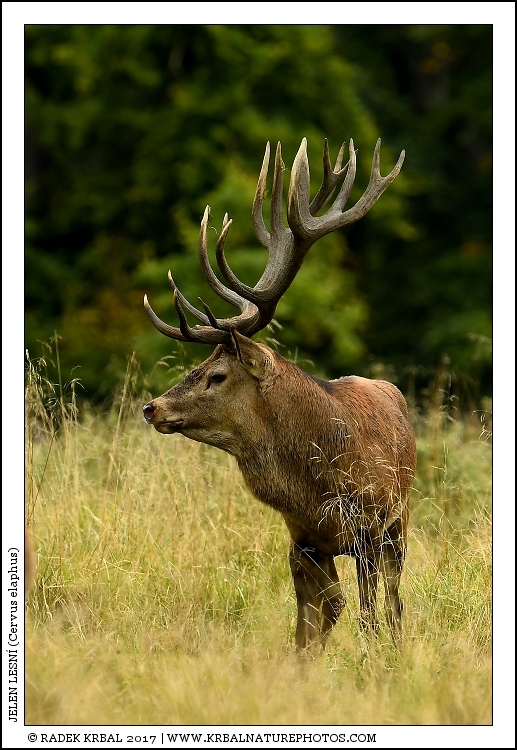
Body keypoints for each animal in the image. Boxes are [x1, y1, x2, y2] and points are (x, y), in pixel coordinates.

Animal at [142, 135, 416, 653]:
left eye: (217, 375)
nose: (153, 407)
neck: (317, 485)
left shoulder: (370, 530)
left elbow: (366, 615)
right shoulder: (300, 539)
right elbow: (313, 622)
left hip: (401, 519)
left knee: (393, 605)